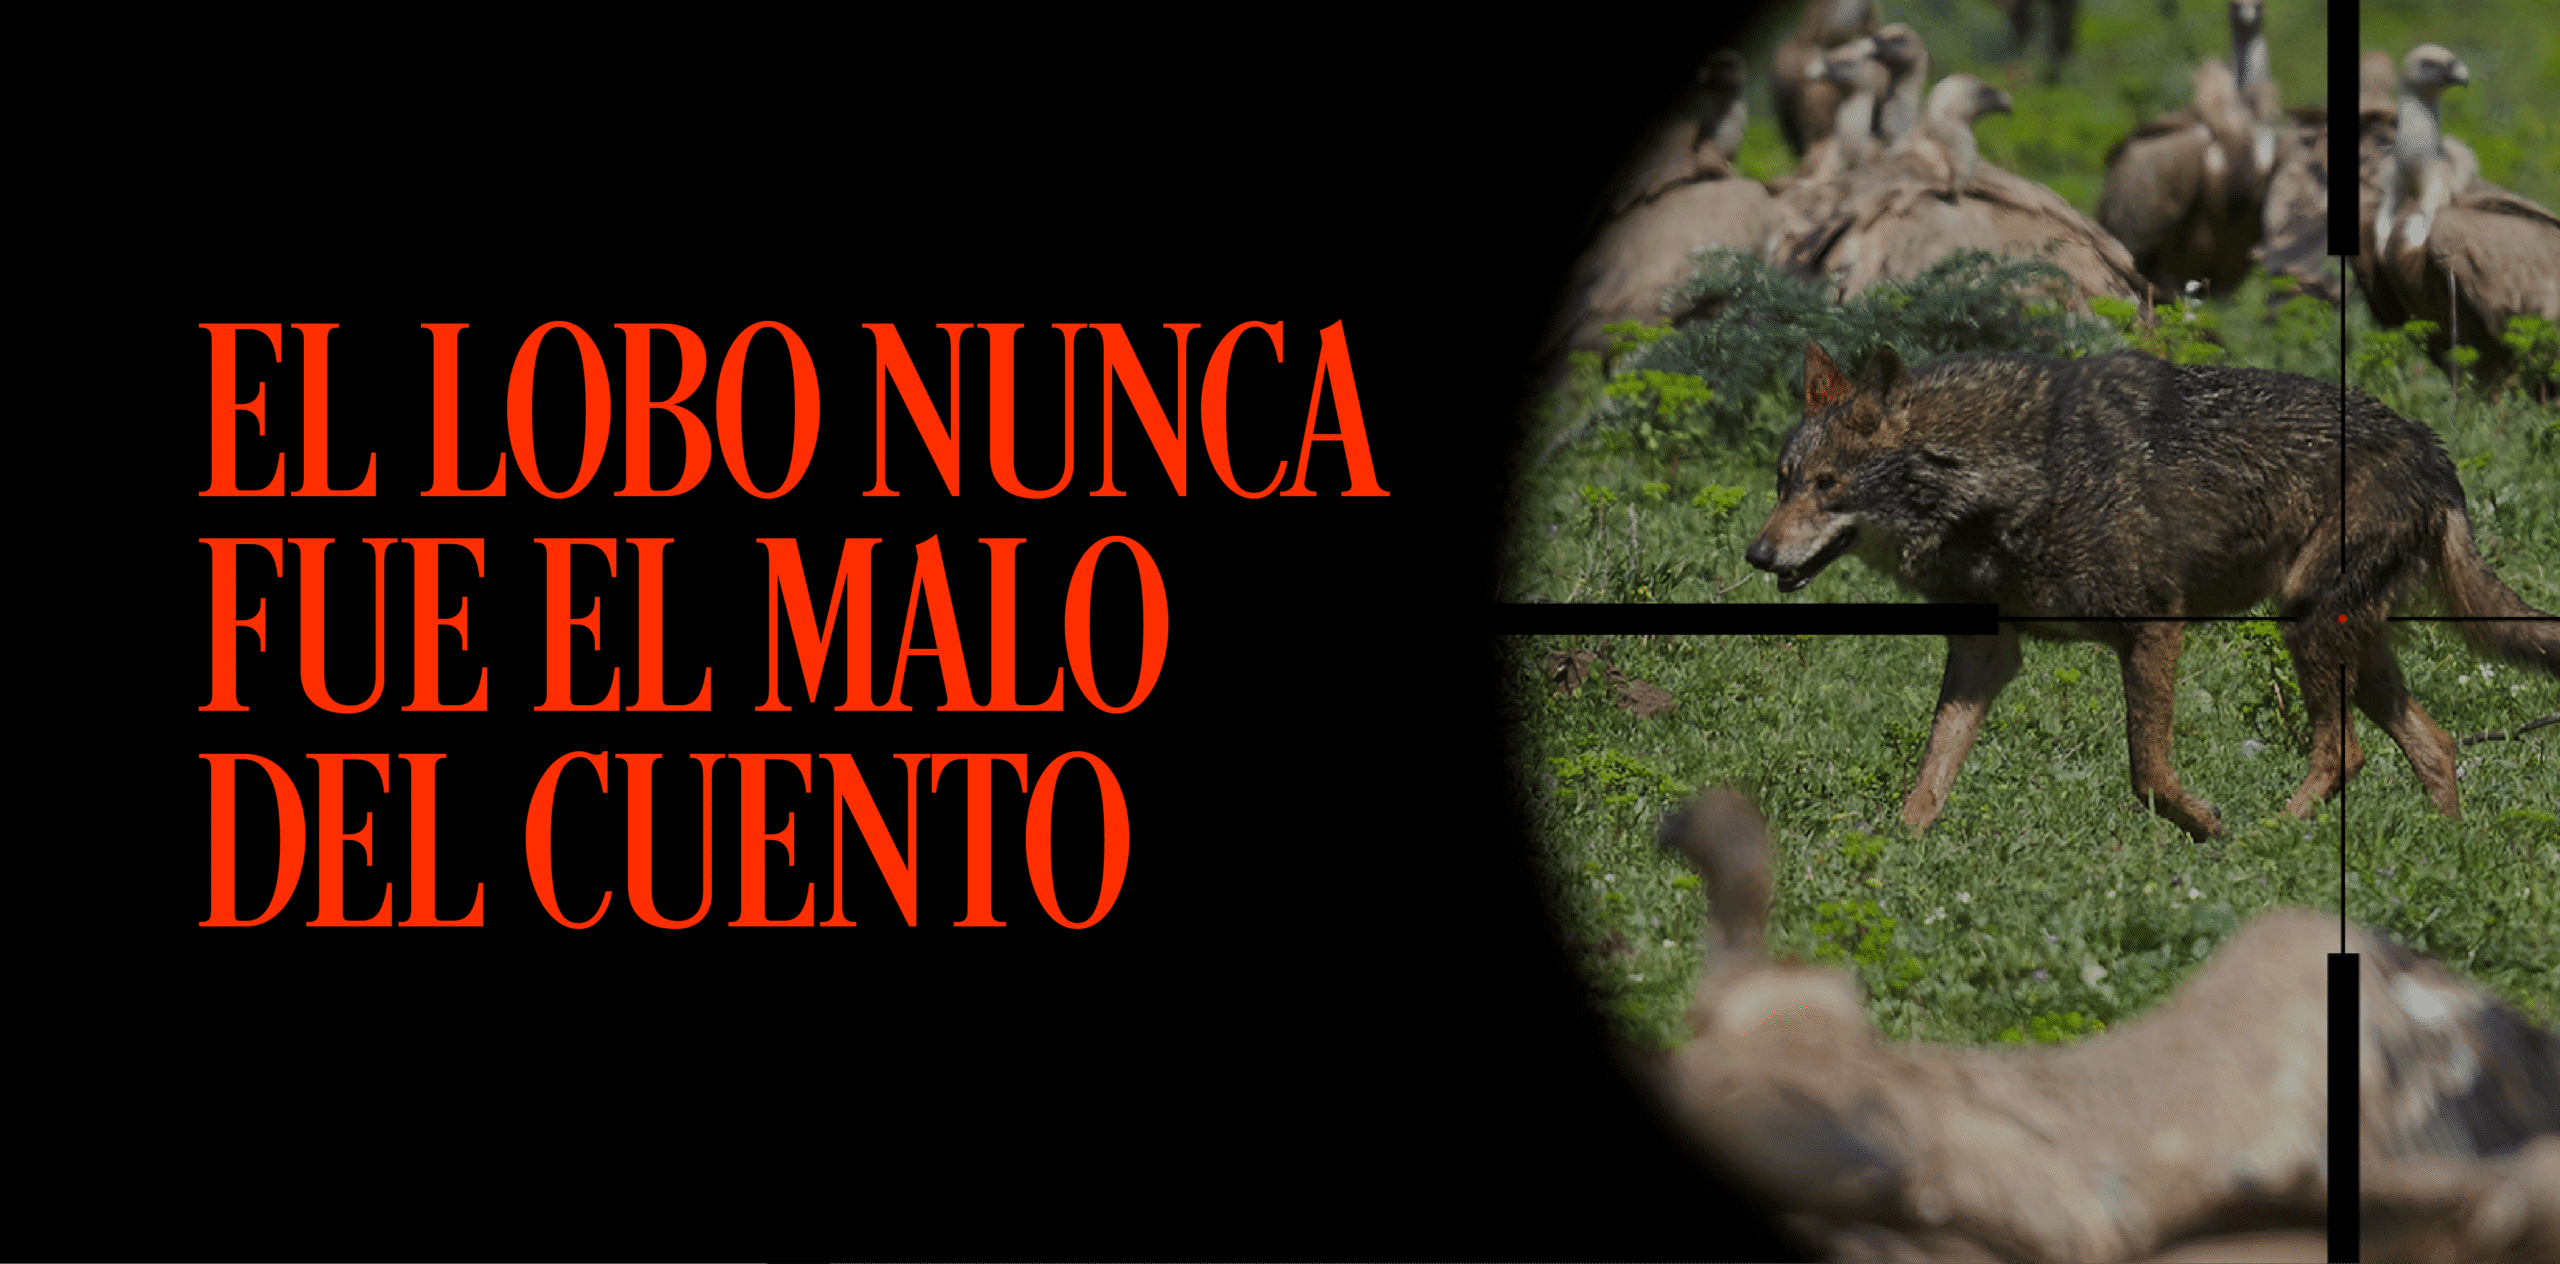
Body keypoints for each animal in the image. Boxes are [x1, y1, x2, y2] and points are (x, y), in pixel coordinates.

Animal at [1744, 341, 2558, 839]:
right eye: (1784, 484)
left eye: (1827, 486)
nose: (1757, 554)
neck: (2003, 480)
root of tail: (2435, 453)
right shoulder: (1986, 655)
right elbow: (1930, 775)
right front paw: (1896, 853)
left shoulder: (2155, 626)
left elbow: (2147, 773)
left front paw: (2208, 828)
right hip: (2349, 648)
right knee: (2435, 747)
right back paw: (2441, 852)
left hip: (2309, 628)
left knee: (2344, 756)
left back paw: (2269, 838)